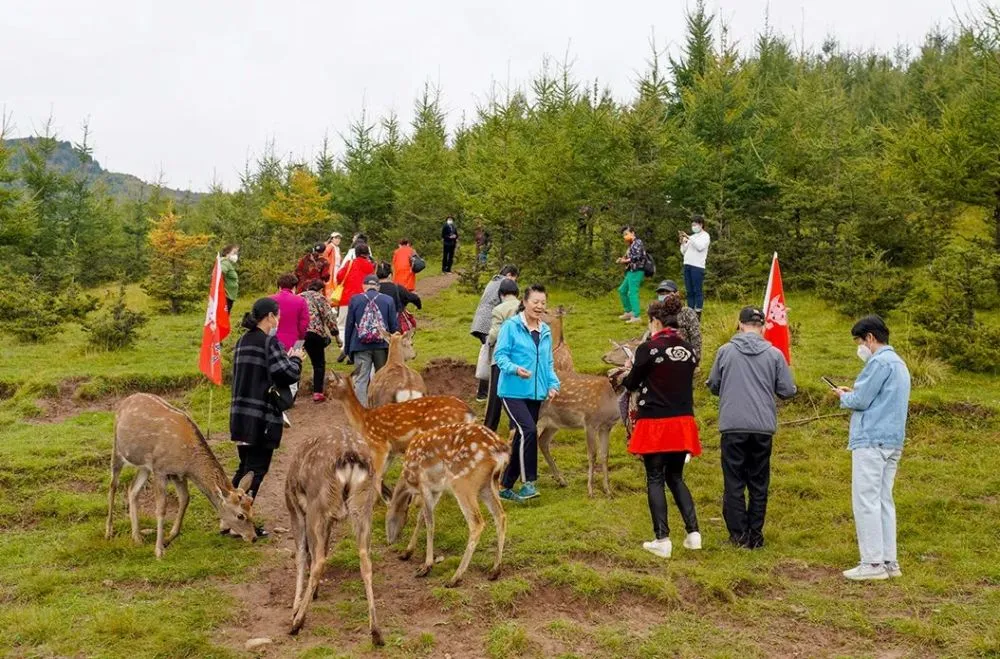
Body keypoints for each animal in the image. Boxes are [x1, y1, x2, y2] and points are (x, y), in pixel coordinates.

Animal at [106, 394, 258, 560]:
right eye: (240, 515)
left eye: (252, 510)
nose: (253, 537)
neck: (189, 461)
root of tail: (126, 400)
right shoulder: (160, 470)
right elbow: (161, 508)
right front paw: (159, 550)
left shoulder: (178, 474)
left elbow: (185, 499)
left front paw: (168, 539)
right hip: (117, 448)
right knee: (113, 486)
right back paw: (109, 532)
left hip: (144, 466)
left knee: (132, 490)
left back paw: (137, 537)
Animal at [290, 422, 386, 644]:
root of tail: (350, 455)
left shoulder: (295, 509)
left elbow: (301, 554)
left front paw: (295, 607)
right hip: (363, 505)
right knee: (365, 559)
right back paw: (376, 632)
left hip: (317, 507)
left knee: (319, 560)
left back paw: (297, 623)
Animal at [322, 372, 474, 500]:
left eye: (330, 383)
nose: (324, 395)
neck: (363, 422)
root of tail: (469, 413)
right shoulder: (391, 451)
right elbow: (381, 475)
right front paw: (383, 498)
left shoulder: (379, 445)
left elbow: (376, 477)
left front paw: (381, 504)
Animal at [382, 422, 508, 588]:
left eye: (387, 517)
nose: (389, 541)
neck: (409, 480)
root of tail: (500, 451)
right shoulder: (437, 490)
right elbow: (421, 517)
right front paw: (407, 552)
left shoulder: (424, 485)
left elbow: (429, 522)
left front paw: (426, 566)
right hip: (489, 484)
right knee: (500, 515)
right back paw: (495, 570)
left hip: (463, 483)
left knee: (477, 523)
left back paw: (455, 578)